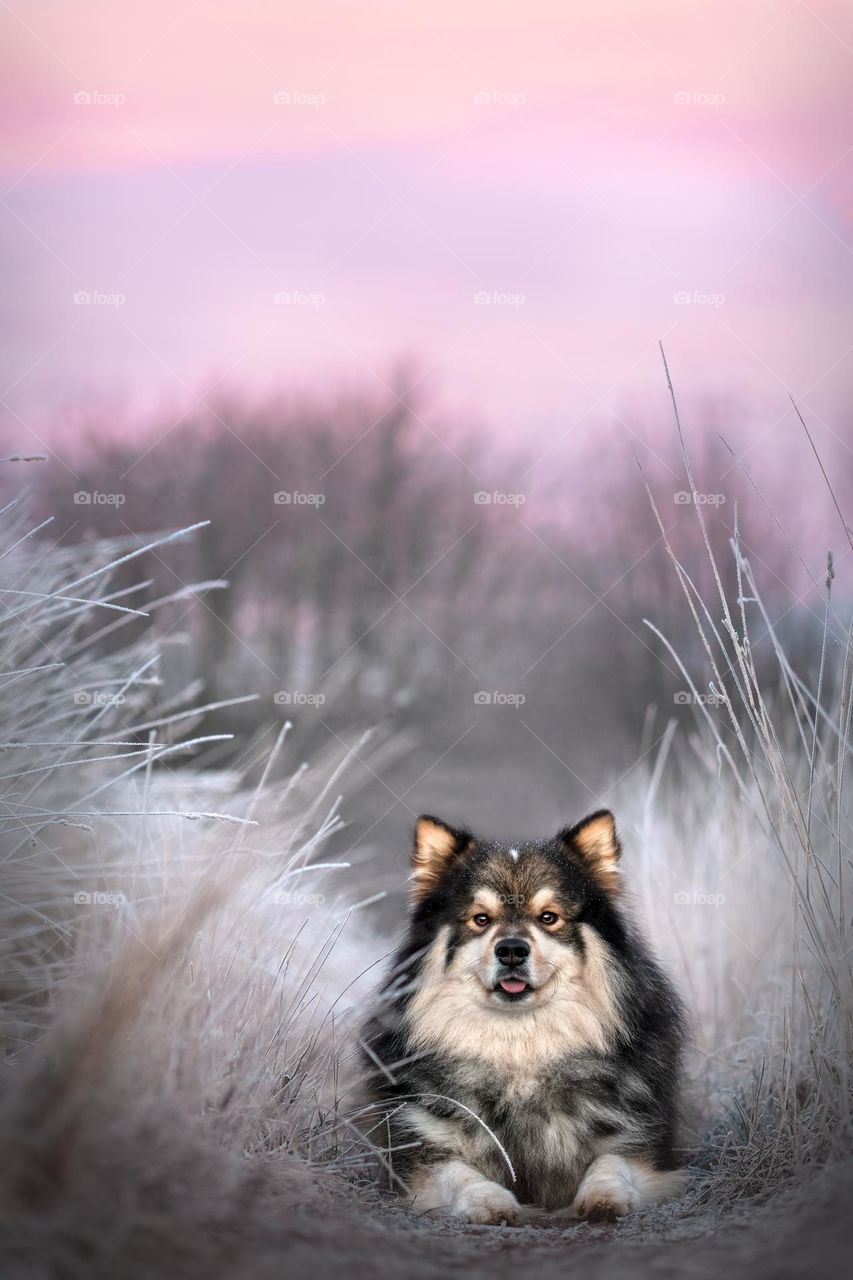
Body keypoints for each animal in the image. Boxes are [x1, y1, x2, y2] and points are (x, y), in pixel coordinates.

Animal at [358, 808, 686, 1218]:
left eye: (548, 917)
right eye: (481, 919)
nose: (512, 950)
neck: (519, 1052)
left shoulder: (642, 1147)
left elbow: (610, 1162)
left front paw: (604, 1197)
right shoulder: (420, 1159)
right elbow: (460, 1174)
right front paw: (489, 1201)